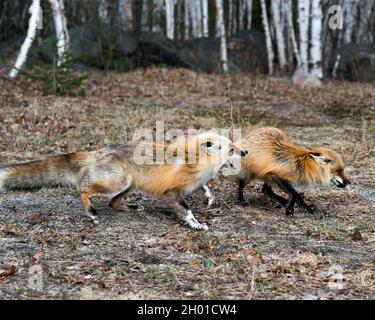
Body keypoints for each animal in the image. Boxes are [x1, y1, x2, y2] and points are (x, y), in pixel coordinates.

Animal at [0, 132, 247, 230]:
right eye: (231, 149)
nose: (244, 152)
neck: (195, 161)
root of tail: (95, 152)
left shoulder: (192, 183)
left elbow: (205, 188)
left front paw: (209, 197)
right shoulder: (172, 193)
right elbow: (187, 212)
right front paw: (196, 225)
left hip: (128, 185)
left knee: (112, 202)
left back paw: (132, 207)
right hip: (118, 182)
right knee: (84, 190)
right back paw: (91, 213)